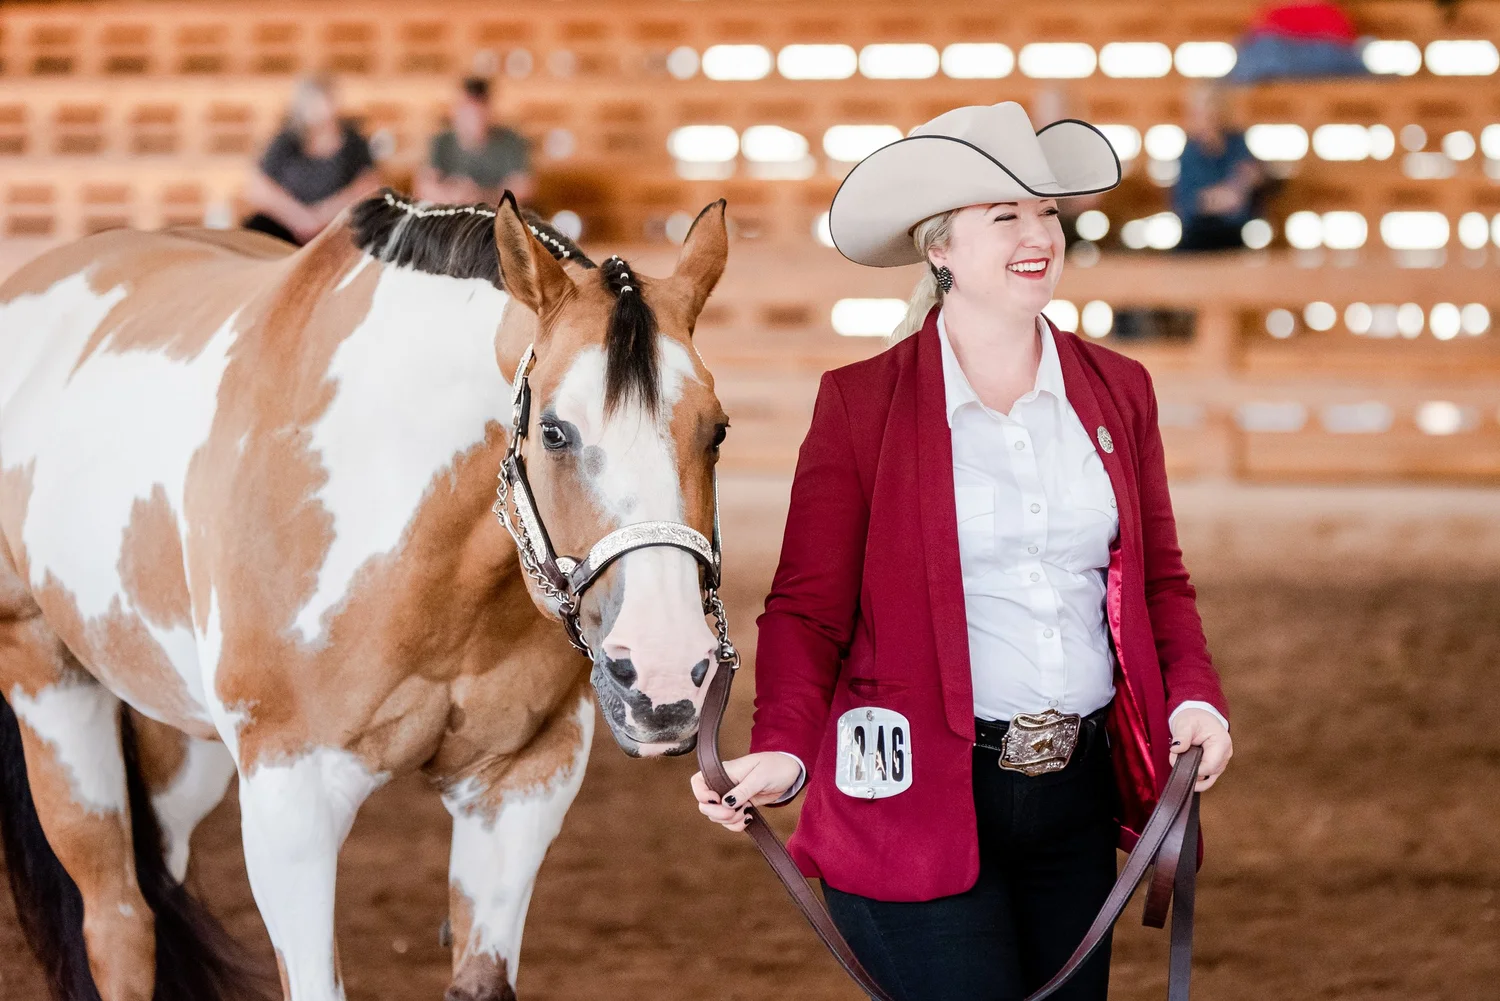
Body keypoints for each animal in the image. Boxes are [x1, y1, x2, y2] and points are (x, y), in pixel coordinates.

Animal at [0, 188, 733, 1001]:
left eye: (716, 431)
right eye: (554, 432)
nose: (666, 676)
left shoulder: (520, 784)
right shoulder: (290, 796)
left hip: (179, 743)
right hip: (52, 687)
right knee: (119, 920)